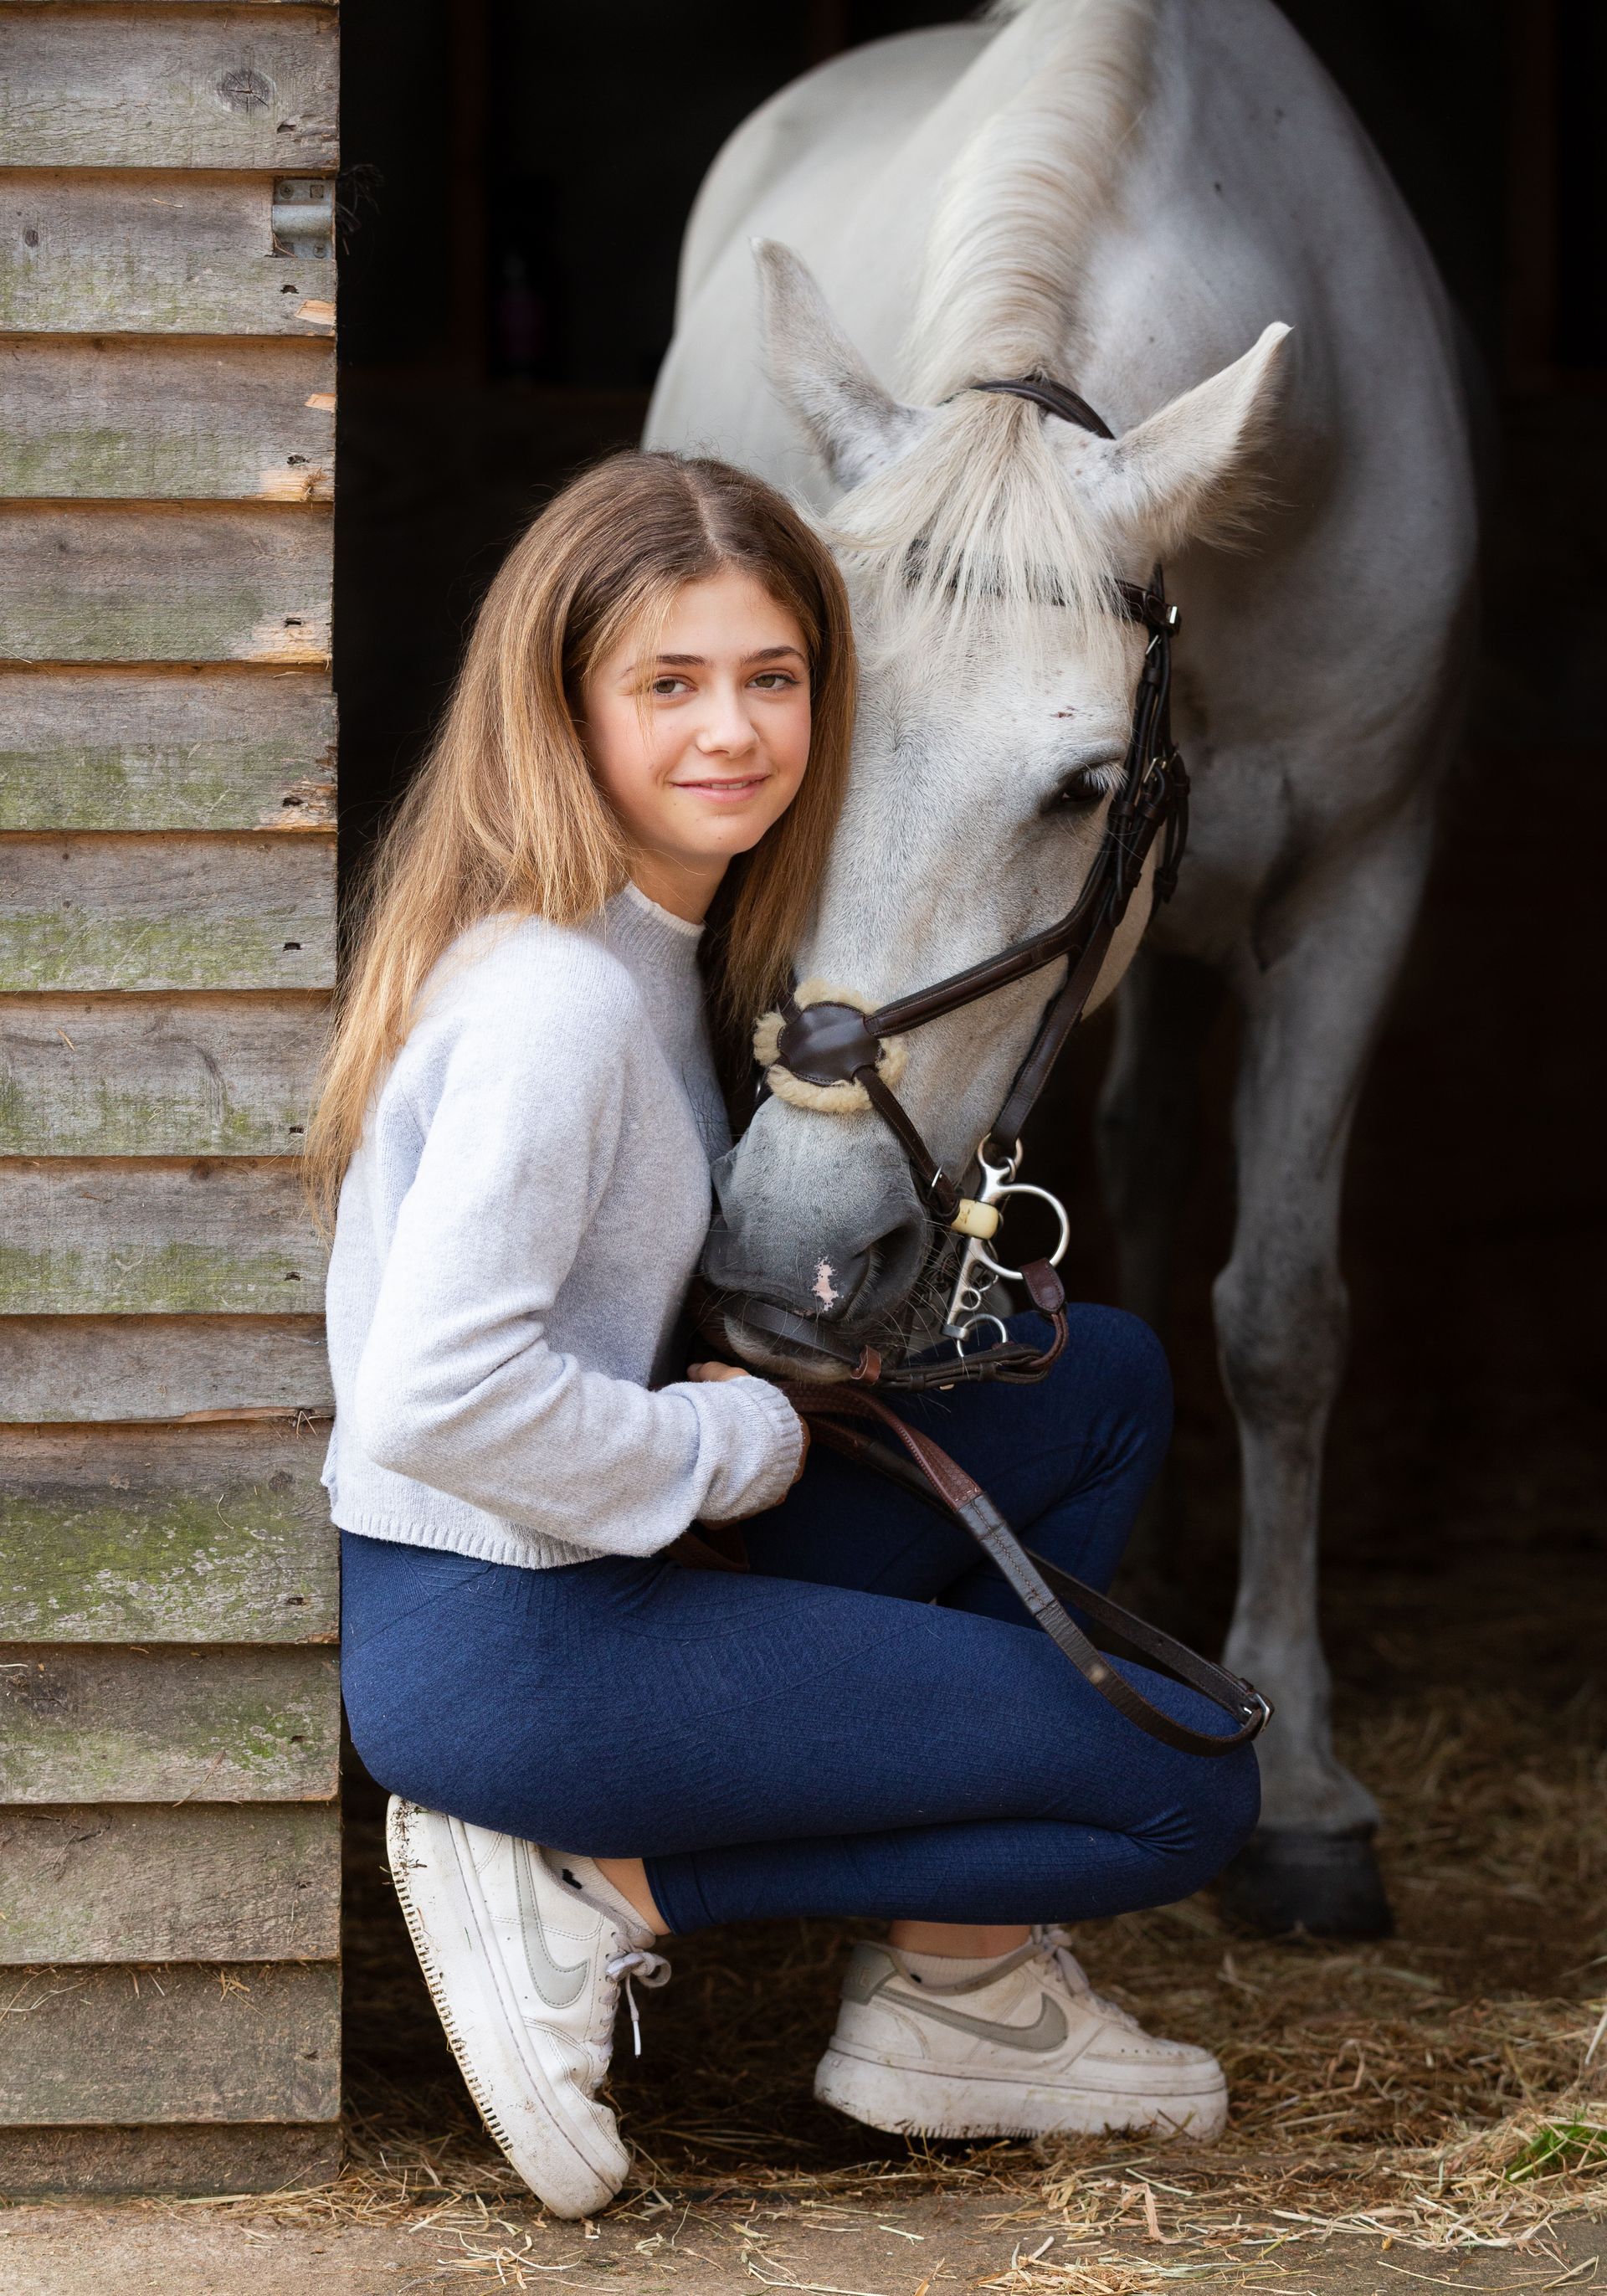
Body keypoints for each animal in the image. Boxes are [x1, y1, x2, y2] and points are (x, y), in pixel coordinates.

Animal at [644, 0, 1476, 1937]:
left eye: (1088, 787)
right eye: (794, 740)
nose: (789, 1255)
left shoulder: (1359, 880)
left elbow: (1285, 1317)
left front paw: (1306, 1795)